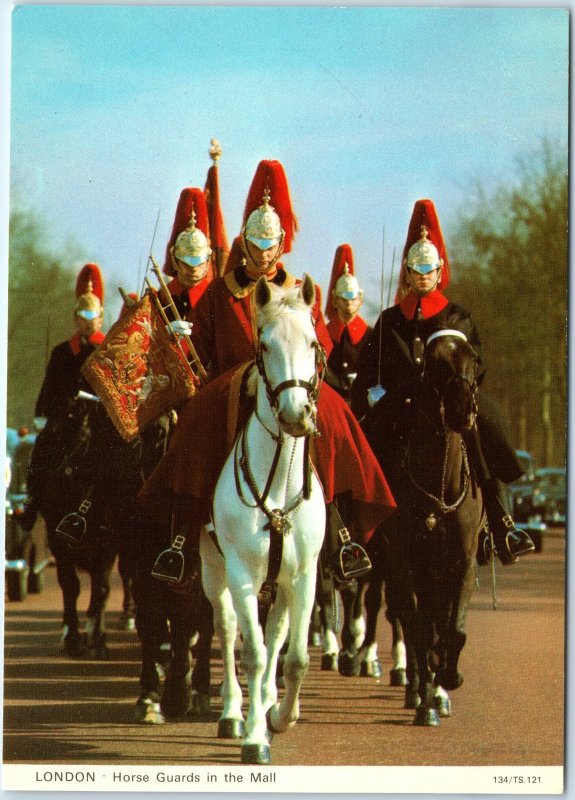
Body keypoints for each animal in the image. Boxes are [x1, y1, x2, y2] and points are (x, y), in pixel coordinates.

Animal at [201, 276, 328, 768]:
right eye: (266, 345)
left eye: (312, 341)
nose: (295, 414)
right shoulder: (240, 574)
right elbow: (251, 654)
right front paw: (255, 735)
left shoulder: (305, 575)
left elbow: (294, 657)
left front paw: (281, 716)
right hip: (213, 569)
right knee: (228, 628)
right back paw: (233, 712)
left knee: (275, 636)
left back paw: (270, 702)